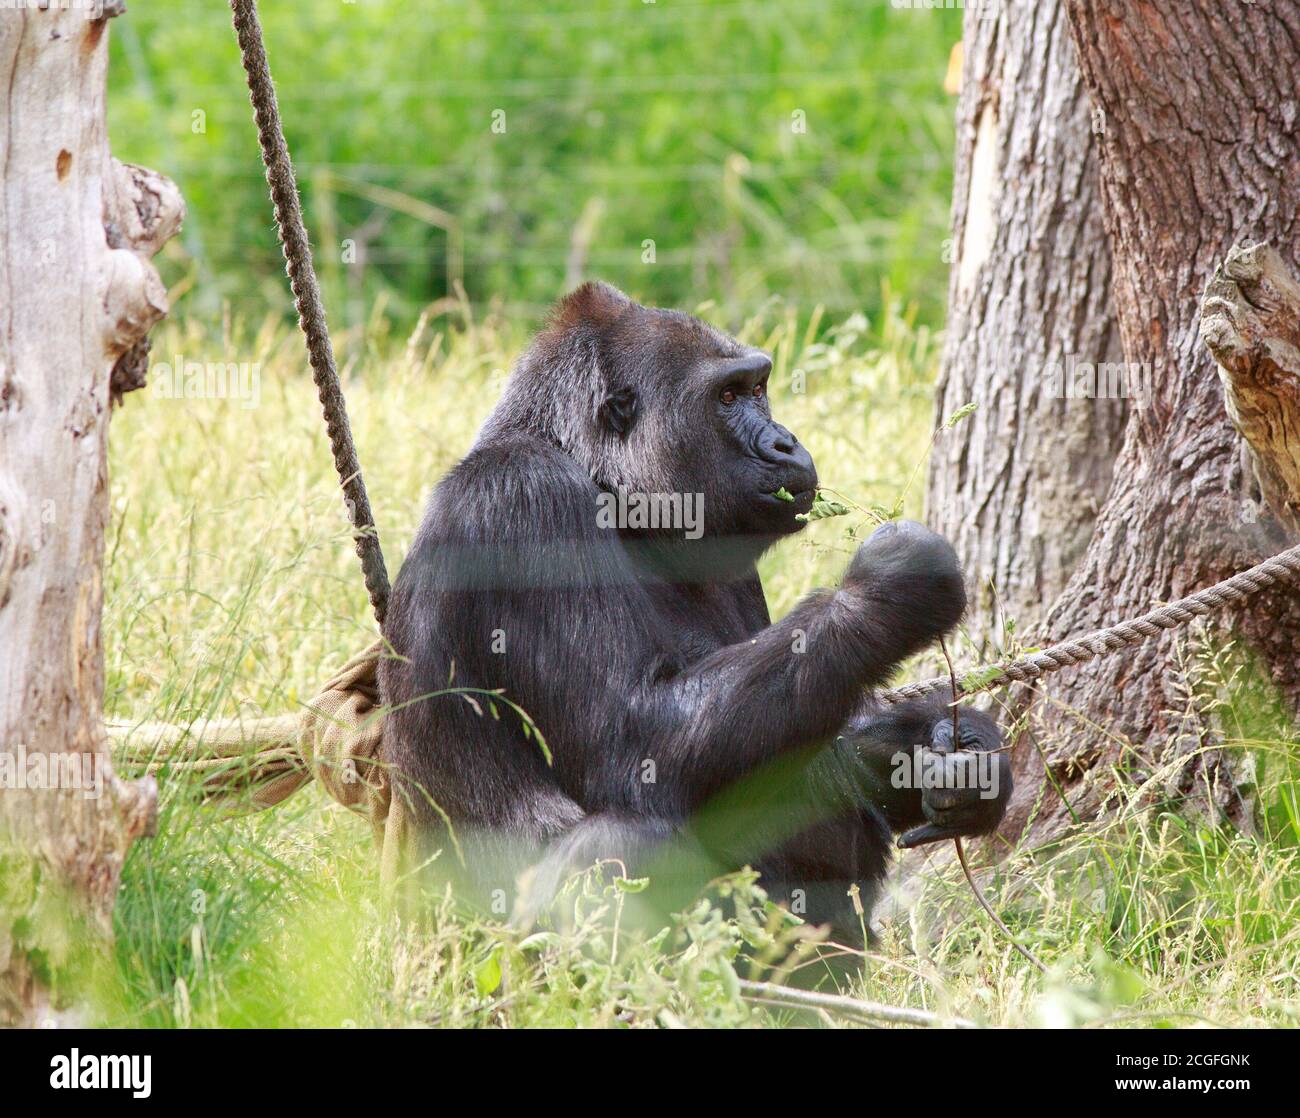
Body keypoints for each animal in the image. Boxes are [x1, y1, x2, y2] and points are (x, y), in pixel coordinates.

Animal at [379, 282, 1008, 935]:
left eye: (758, 388)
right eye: (727, 396)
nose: (785, 441)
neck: (605, 484)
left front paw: (961, 754)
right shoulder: (521, 502)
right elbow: (633, 741)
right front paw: (887, 591)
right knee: (625, 845)